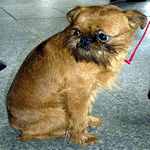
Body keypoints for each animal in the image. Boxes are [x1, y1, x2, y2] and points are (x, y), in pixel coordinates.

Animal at [6, 4, 146, 146]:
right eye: (77, 32)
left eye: (102, 36)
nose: (84, 38)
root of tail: (12, 121)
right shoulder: (77, 94)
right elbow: (78, 118)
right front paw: (82, 137)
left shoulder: (89, 91)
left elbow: (87, 109)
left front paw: (89, 120)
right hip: (60, 114)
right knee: (27, 136)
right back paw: (63, 133)